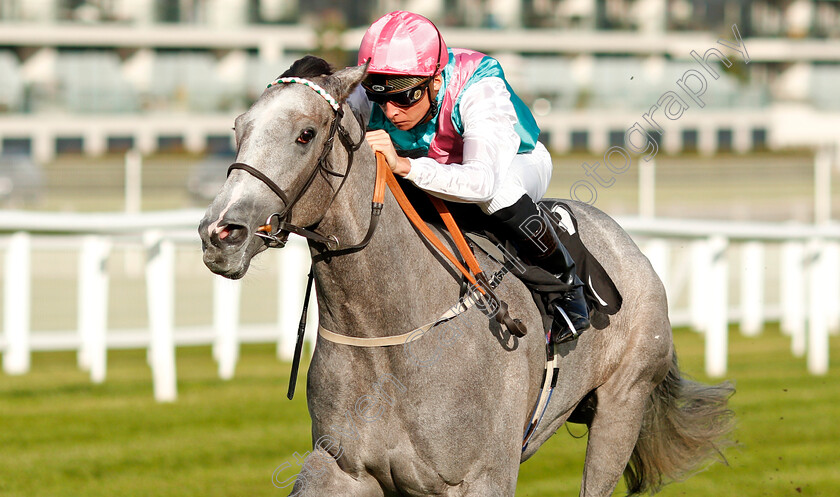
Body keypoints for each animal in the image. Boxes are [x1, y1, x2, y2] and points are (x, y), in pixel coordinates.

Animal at [199, 59, 736, 496]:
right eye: (239, 128)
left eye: (305, 134)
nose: (219, 233)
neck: (390, 334)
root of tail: (625, 240)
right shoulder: (342, 468)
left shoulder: (482, 476)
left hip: (621, 407)